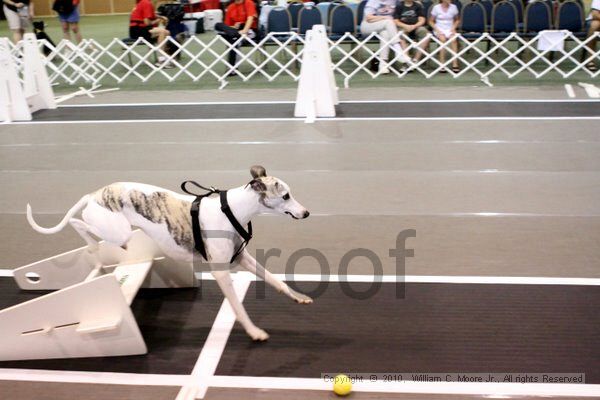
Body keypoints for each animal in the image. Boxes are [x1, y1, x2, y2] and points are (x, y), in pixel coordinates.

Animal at [25, 166, 312, 340]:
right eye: (286, 196)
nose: (307, 212)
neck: (232, 210)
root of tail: (92, 195)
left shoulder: (242, 258)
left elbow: (274, 279)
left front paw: (298, 297)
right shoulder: (221, 272)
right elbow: (238, 307)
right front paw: (254, 332)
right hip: (116, 232)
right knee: (78, 223)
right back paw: (91, 244)